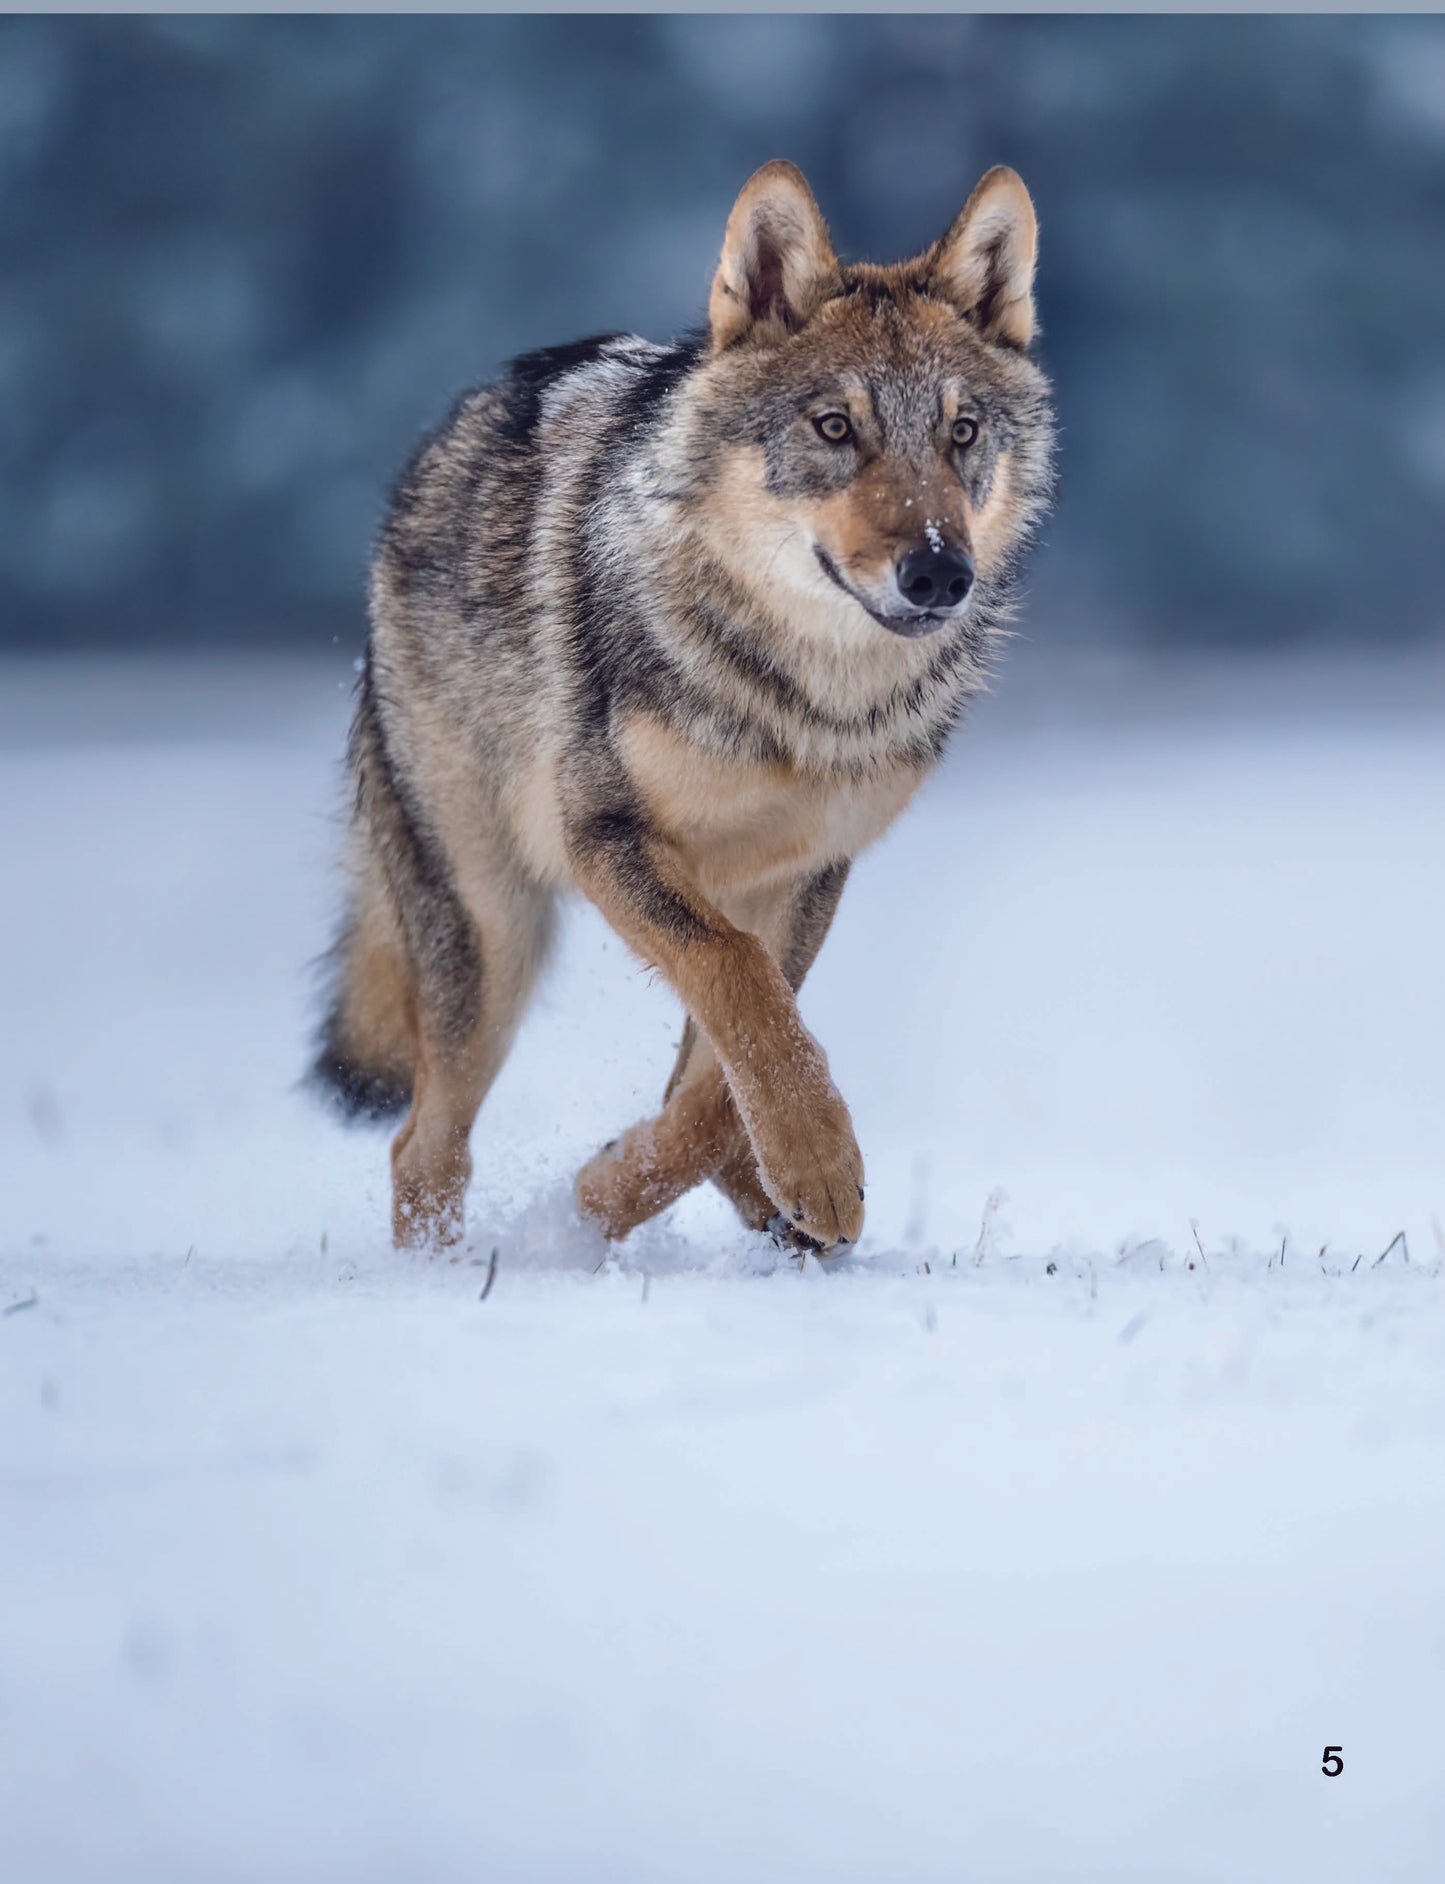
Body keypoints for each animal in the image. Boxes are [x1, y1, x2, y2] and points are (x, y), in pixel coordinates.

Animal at [308, 159, 1055, 1255]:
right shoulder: (607, 838)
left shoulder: (802, 874)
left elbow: (722, 1076)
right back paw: (441, 1274)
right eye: (835, 428)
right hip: (493, 935)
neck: (802, 702)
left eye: (960, 433)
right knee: (421, 1147)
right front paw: (785, 1171)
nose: (939, 574)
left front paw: (644, 1185)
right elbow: (739, 989)